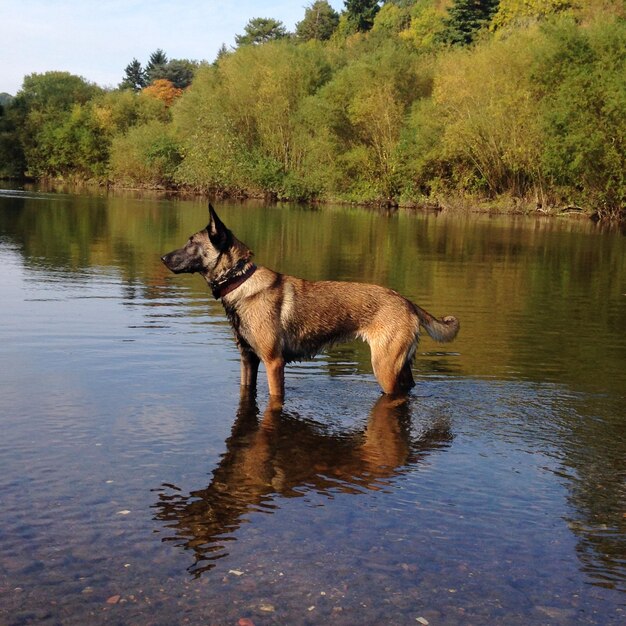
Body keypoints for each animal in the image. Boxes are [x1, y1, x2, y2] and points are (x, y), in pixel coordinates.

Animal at [162, 202, 458, 402]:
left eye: (191, 243)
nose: (163, 258)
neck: (241, 281)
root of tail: (407, 301)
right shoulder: (248, 360)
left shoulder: (273, 363)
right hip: (401, 369)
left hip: (384, 369)